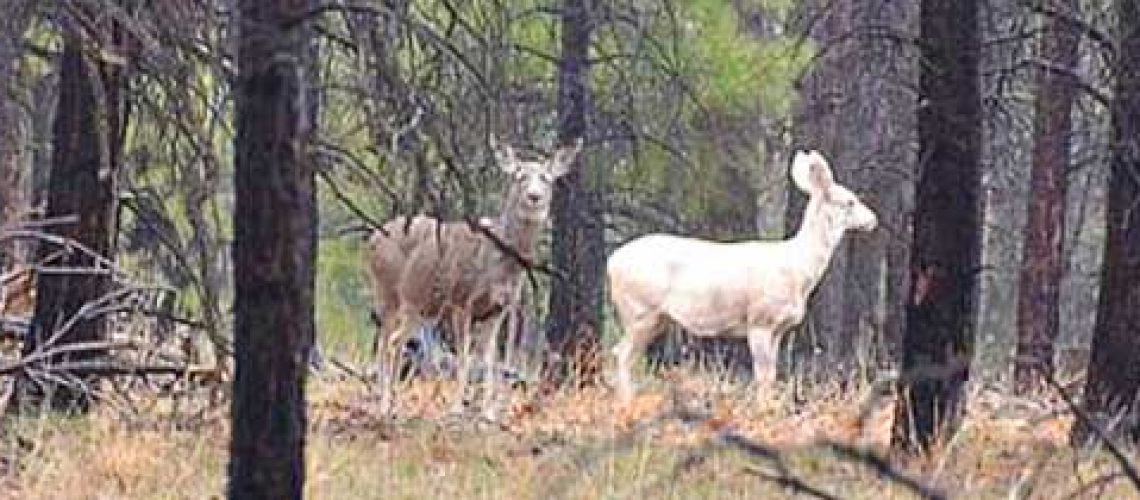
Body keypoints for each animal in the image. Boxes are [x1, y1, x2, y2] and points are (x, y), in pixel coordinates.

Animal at [365, 137, 582, 414]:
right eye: (519, 176)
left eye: (546, 178)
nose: (534, 197)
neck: (499, 266)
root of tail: (372, 239)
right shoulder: (460, 301)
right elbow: (465, 358)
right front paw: (458, 407)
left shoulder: (498, 309)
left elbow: (490, 360)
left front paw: (488, 411)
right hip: (387, 292)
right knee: (386, 343)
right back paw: (383, 404)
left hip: (421, 305)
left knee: (396, 341)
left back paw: (395, 403)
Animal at [606, 150, 878, 402]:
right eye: (850, 201)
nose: (873, 219)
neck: (797, 270)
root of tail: (611, 262)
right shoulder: (759, 320)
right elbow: (762, 375)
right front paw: (762, 410)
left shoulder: (778, 328)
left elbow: (771, 375)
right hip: (639, 310)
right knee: (621, 354)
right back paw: (626, 405)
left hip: (655, 317)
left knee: (625, 354)